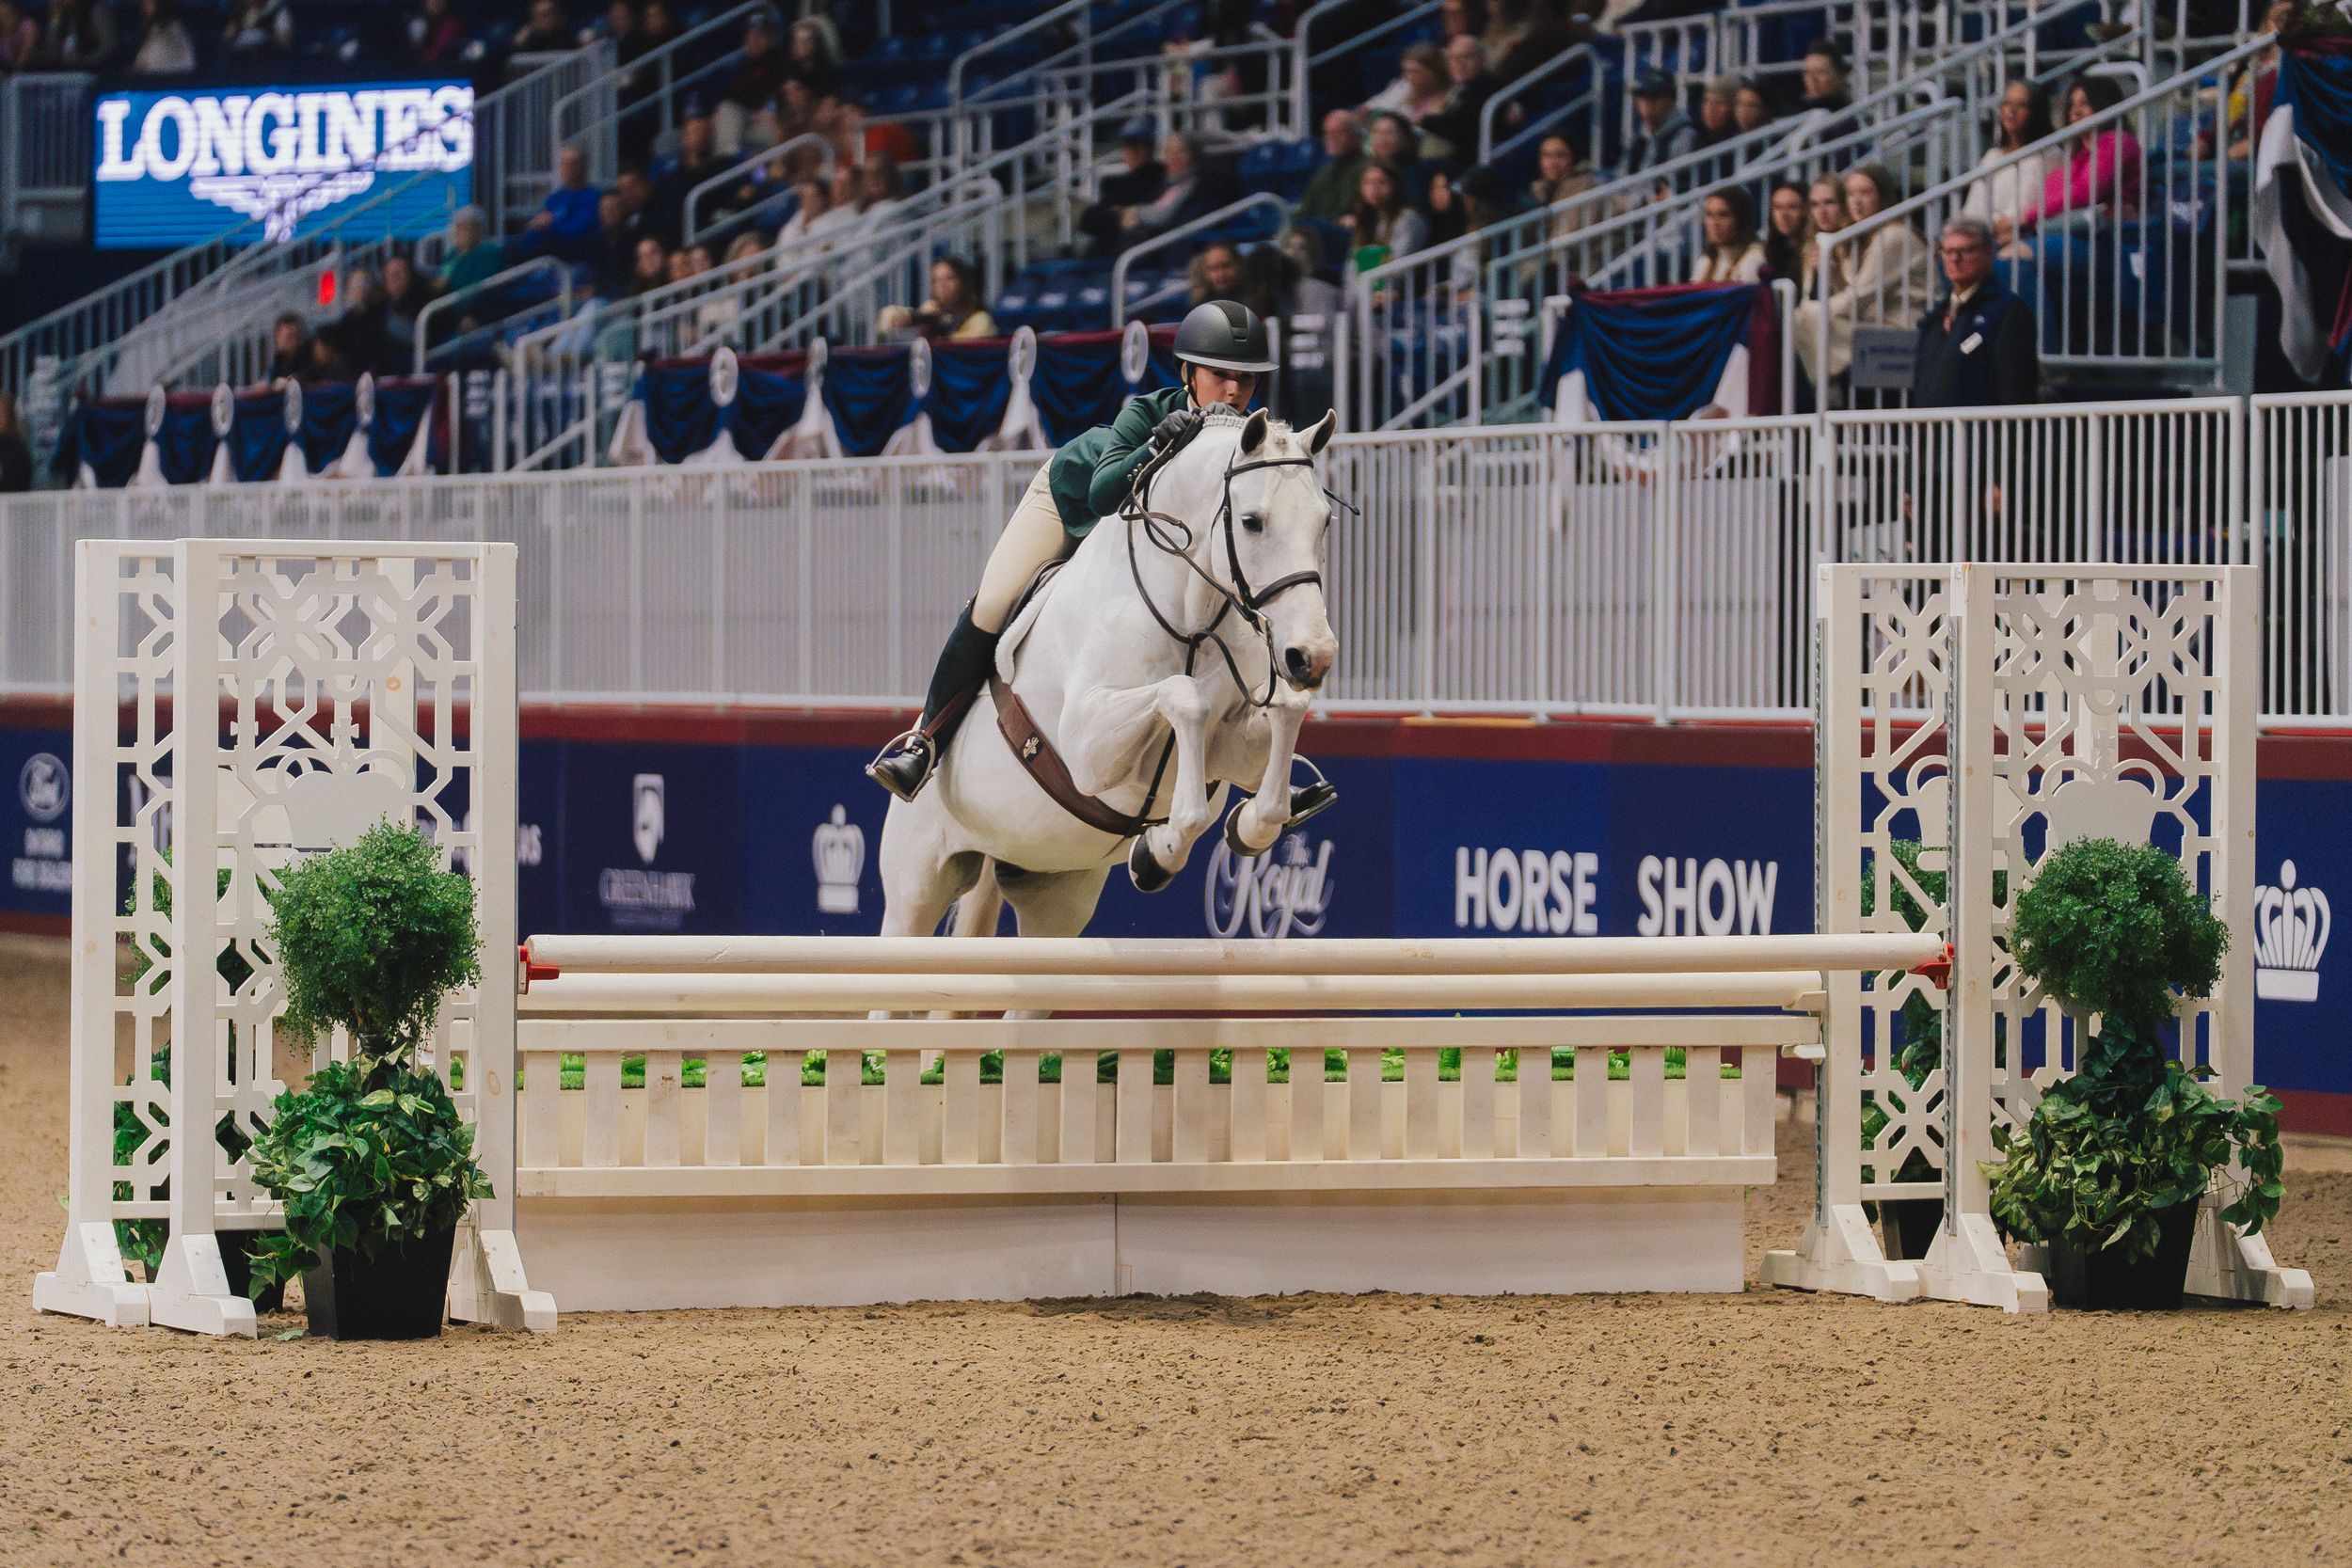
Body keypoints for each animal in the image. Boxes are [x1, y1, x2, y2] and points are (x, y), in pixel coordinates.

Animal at [877, 406, 1341, 940]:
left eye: (1324, 521)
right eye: (1252, 522)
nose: (1312, 656)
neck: (1192, 620)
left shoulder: (1231, 745)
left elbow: (1284, 713)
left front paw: (1230, 830)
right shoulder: (1086, 745)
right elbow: (1186, 696)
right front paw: (1160, 851)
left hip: (1054, 892)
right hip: (916, 885)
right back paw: (908, 762)